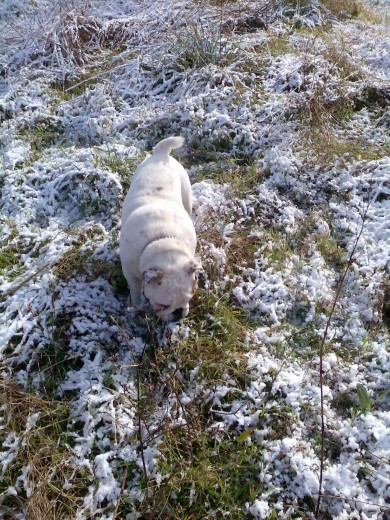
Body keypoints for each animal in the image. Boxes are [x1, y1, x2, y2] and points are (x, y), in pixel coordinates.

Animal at [119, 136, 201, 318]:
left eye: (189, 298)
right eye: (164, 305)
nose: (178, 313)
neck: (162, 241)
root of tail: (161, 154)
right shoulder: (129, 272)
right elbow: (135, 289)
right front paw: (135, 305)